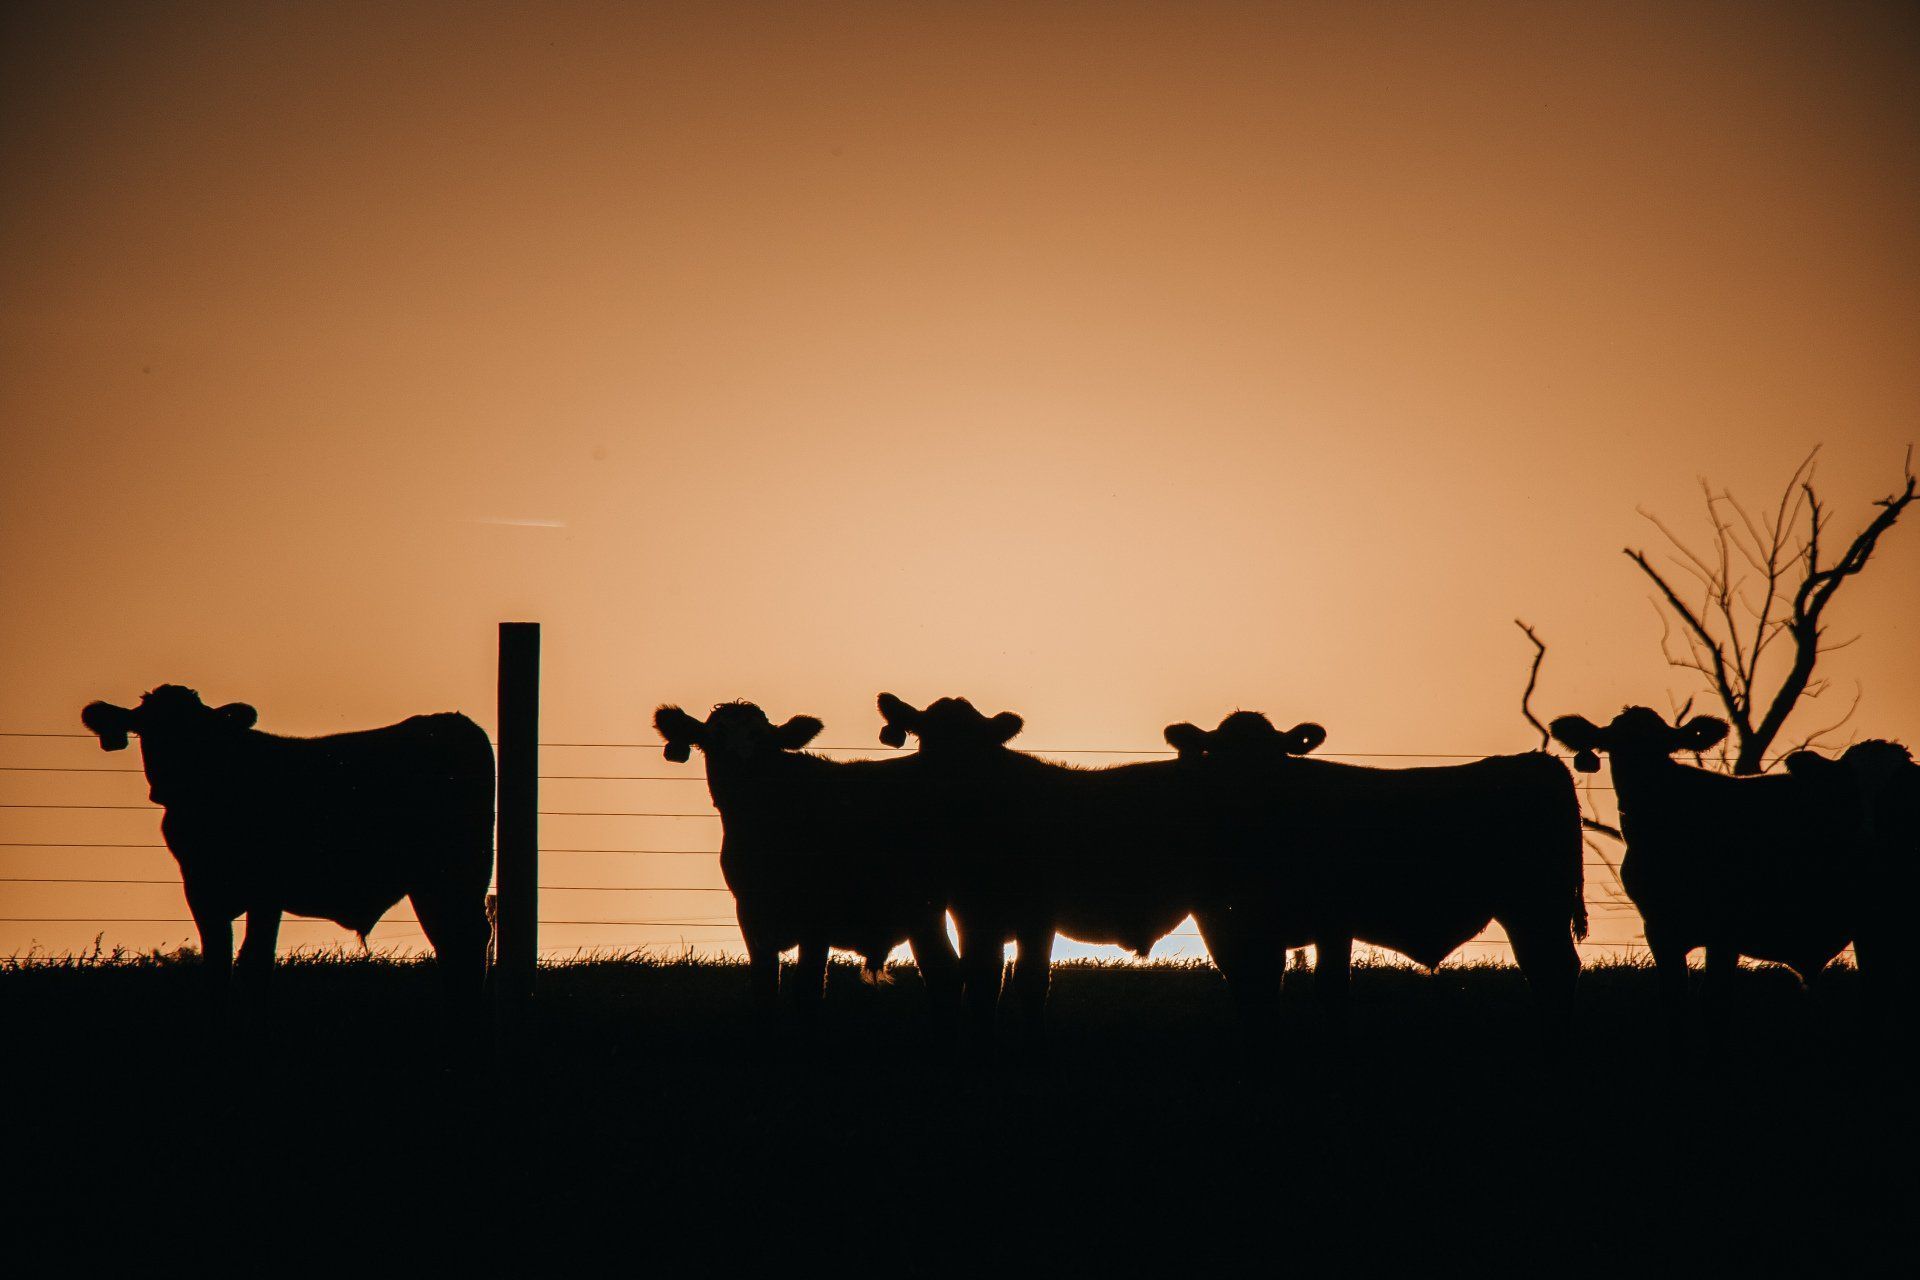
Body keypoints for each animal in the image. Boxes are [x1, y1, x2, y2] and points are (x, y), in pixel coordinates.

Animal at [78, 685, 494, 1018]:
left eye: (199, 735)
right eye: (145, 731)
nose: (165, 787)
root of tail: (452, 721)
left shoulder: (266, 891)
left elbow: (255, 962)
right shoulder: (200, 890)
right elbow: (217, 964)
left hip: (453, 874)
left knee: (467, 938)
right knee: (454, 941)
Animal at [652, 700, 960, 1027]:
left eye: (763, 739)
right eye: (715, 737)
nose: (740, 764)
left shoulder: (817, 918)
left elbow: (807, 988)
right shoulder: (749, 912)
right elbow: (764, 986)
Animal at [874, 694, 1199, 1040]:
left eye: (977, 747)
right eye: (927, 743)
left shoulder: (1038, 913)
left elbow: (1030, 979)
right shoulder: (970, 911)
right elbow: (982, 978)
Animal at [1164, 711, 1586, 1037]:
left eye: (1276, 761)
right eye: (1219, 761)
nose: (1250, 808)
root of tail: (1538, 761)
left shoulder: (1333, 919)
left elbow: (1330, 987)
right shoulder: (1224, 924)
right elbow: (1252, 988)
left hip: (1537, 903)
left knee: (1556, 969)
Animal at [1550, 707, 1867, 1034]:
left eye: (1663, 745)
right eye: (1615, 744)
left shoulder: (1725, 929)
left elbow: (1715, 1000)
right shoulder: (1659, 927)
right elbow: (1674, 999)